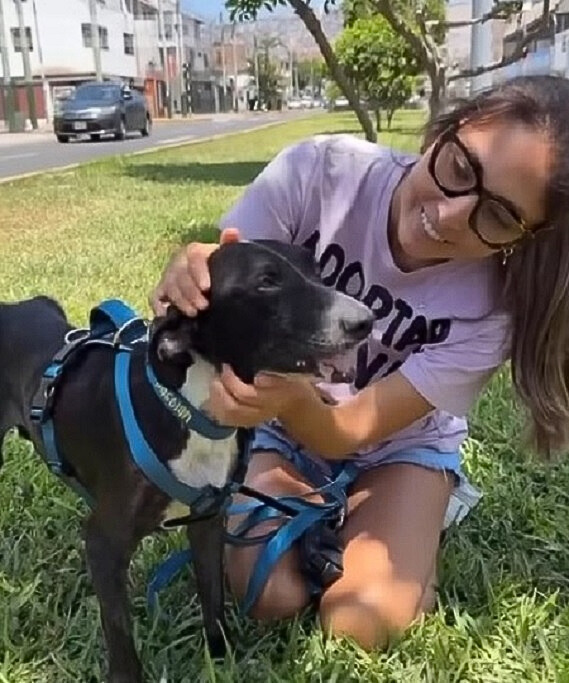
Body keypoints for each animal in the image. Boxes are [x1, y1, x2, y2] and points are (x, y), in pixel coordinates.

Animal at [0, 239, 372, 680]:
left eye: (314, 269)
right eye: (266, 281)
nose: (365, 321)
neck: (193, 411)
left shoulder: (209, 522)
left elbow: (213, 598)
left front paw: (220, 657)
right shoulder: (104, 544)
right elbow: (119, 633)